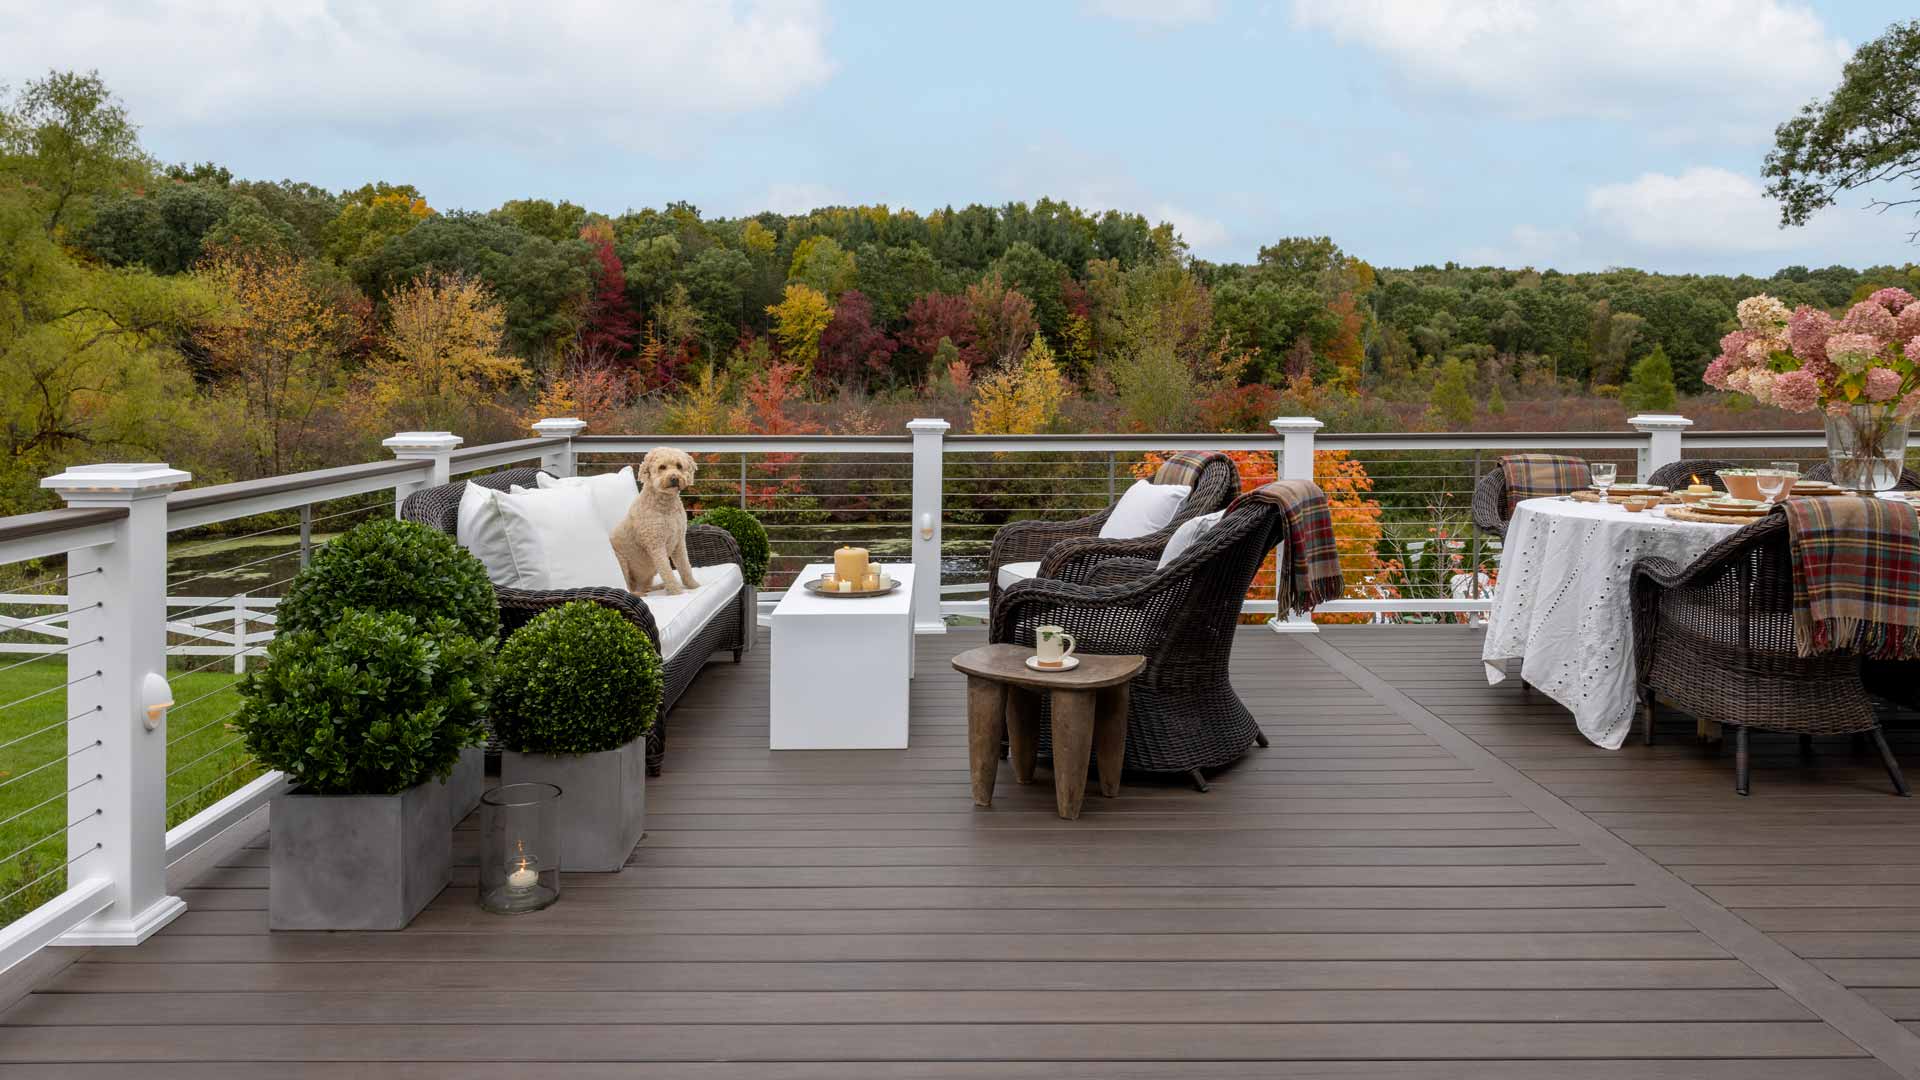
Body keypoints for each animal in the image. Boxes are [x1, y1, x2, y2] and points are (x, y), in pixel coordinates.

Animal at [610, 447, 702, 595]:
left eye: (679, 466)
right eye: (662, 467)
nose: (674, 478)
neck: (666, 506)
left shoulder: (679, 542)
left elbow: (685, 566)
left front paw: (693, 585)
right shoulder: (656, 545)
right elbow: (666, 570)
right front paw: (676, 592)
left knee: (644, 586)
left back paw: (656, 587)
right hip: (621, 562)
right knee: (629, 587)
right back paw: (639, 593)